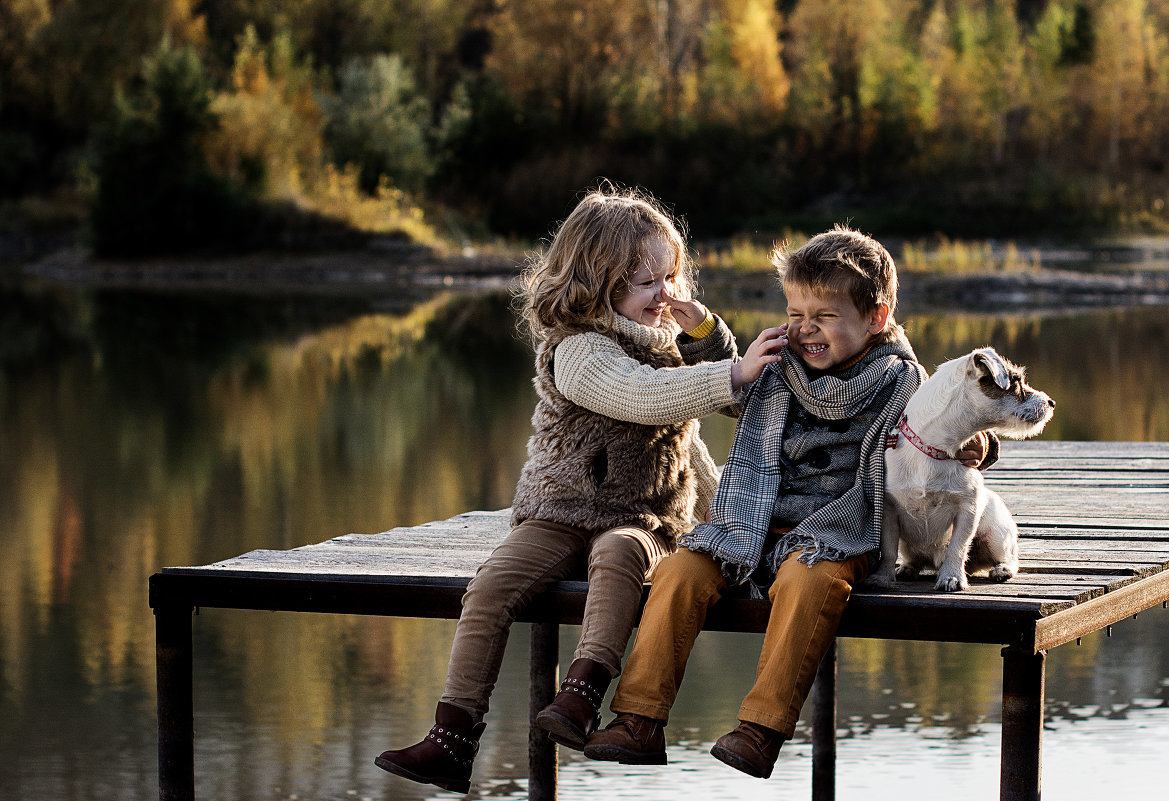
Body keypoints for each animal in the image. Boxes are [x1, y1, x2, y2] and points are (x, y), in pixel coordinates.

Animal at [874, 346, 1056, 589]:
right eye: (1016, 381)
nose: (1051, 402)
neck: (937, 450)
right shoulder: (889, 510)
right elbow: (888, 548)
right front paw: (882, 577)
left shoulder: (967, 509)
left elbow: (957, 547)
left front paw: (951, 576)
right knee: (912, 557)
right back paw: (908, 568)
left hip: (996, 533)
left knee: (1011, 559)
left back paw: (1002, 569)